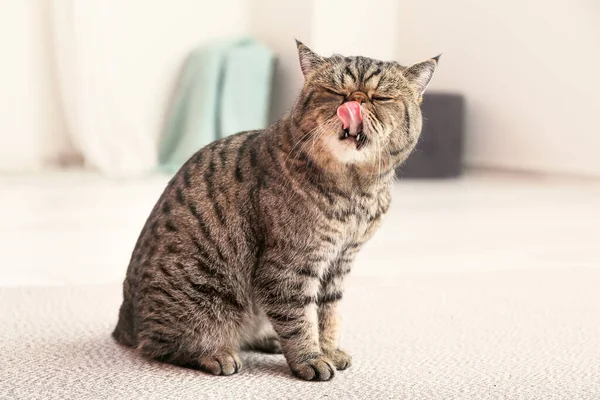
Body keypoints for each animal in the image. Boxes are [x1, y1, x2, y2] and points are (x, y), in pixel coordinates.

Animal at [113, 39, 440, 382]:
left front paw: (329, 349)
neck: (355, 193)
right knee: (159, 345)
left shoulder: (339, 263)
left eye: (381, 97)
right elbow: (299, 320)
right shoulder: (290, 266)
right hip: (204, 299)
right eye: (335, 92)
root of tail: (122, 326)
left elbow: (328, 314)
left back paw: (267, 339)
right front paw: (311, 359)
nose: (356, 101)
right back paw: (216, 353)